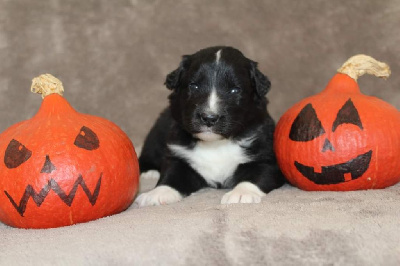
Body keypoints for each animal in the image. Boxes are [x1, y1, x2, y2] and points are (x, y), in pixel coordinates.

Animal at [135, 46, 284, 207]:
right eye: (194, 86)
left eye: (234, 90)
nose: (209, 118)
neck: (215, 144)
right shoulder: (179, 157)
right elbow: (171, 176)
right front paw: (157, 193)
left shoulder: (266, 158)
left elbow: (255, 176)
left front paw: (241, 194)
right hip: (157, 133)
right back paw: (149, 172)